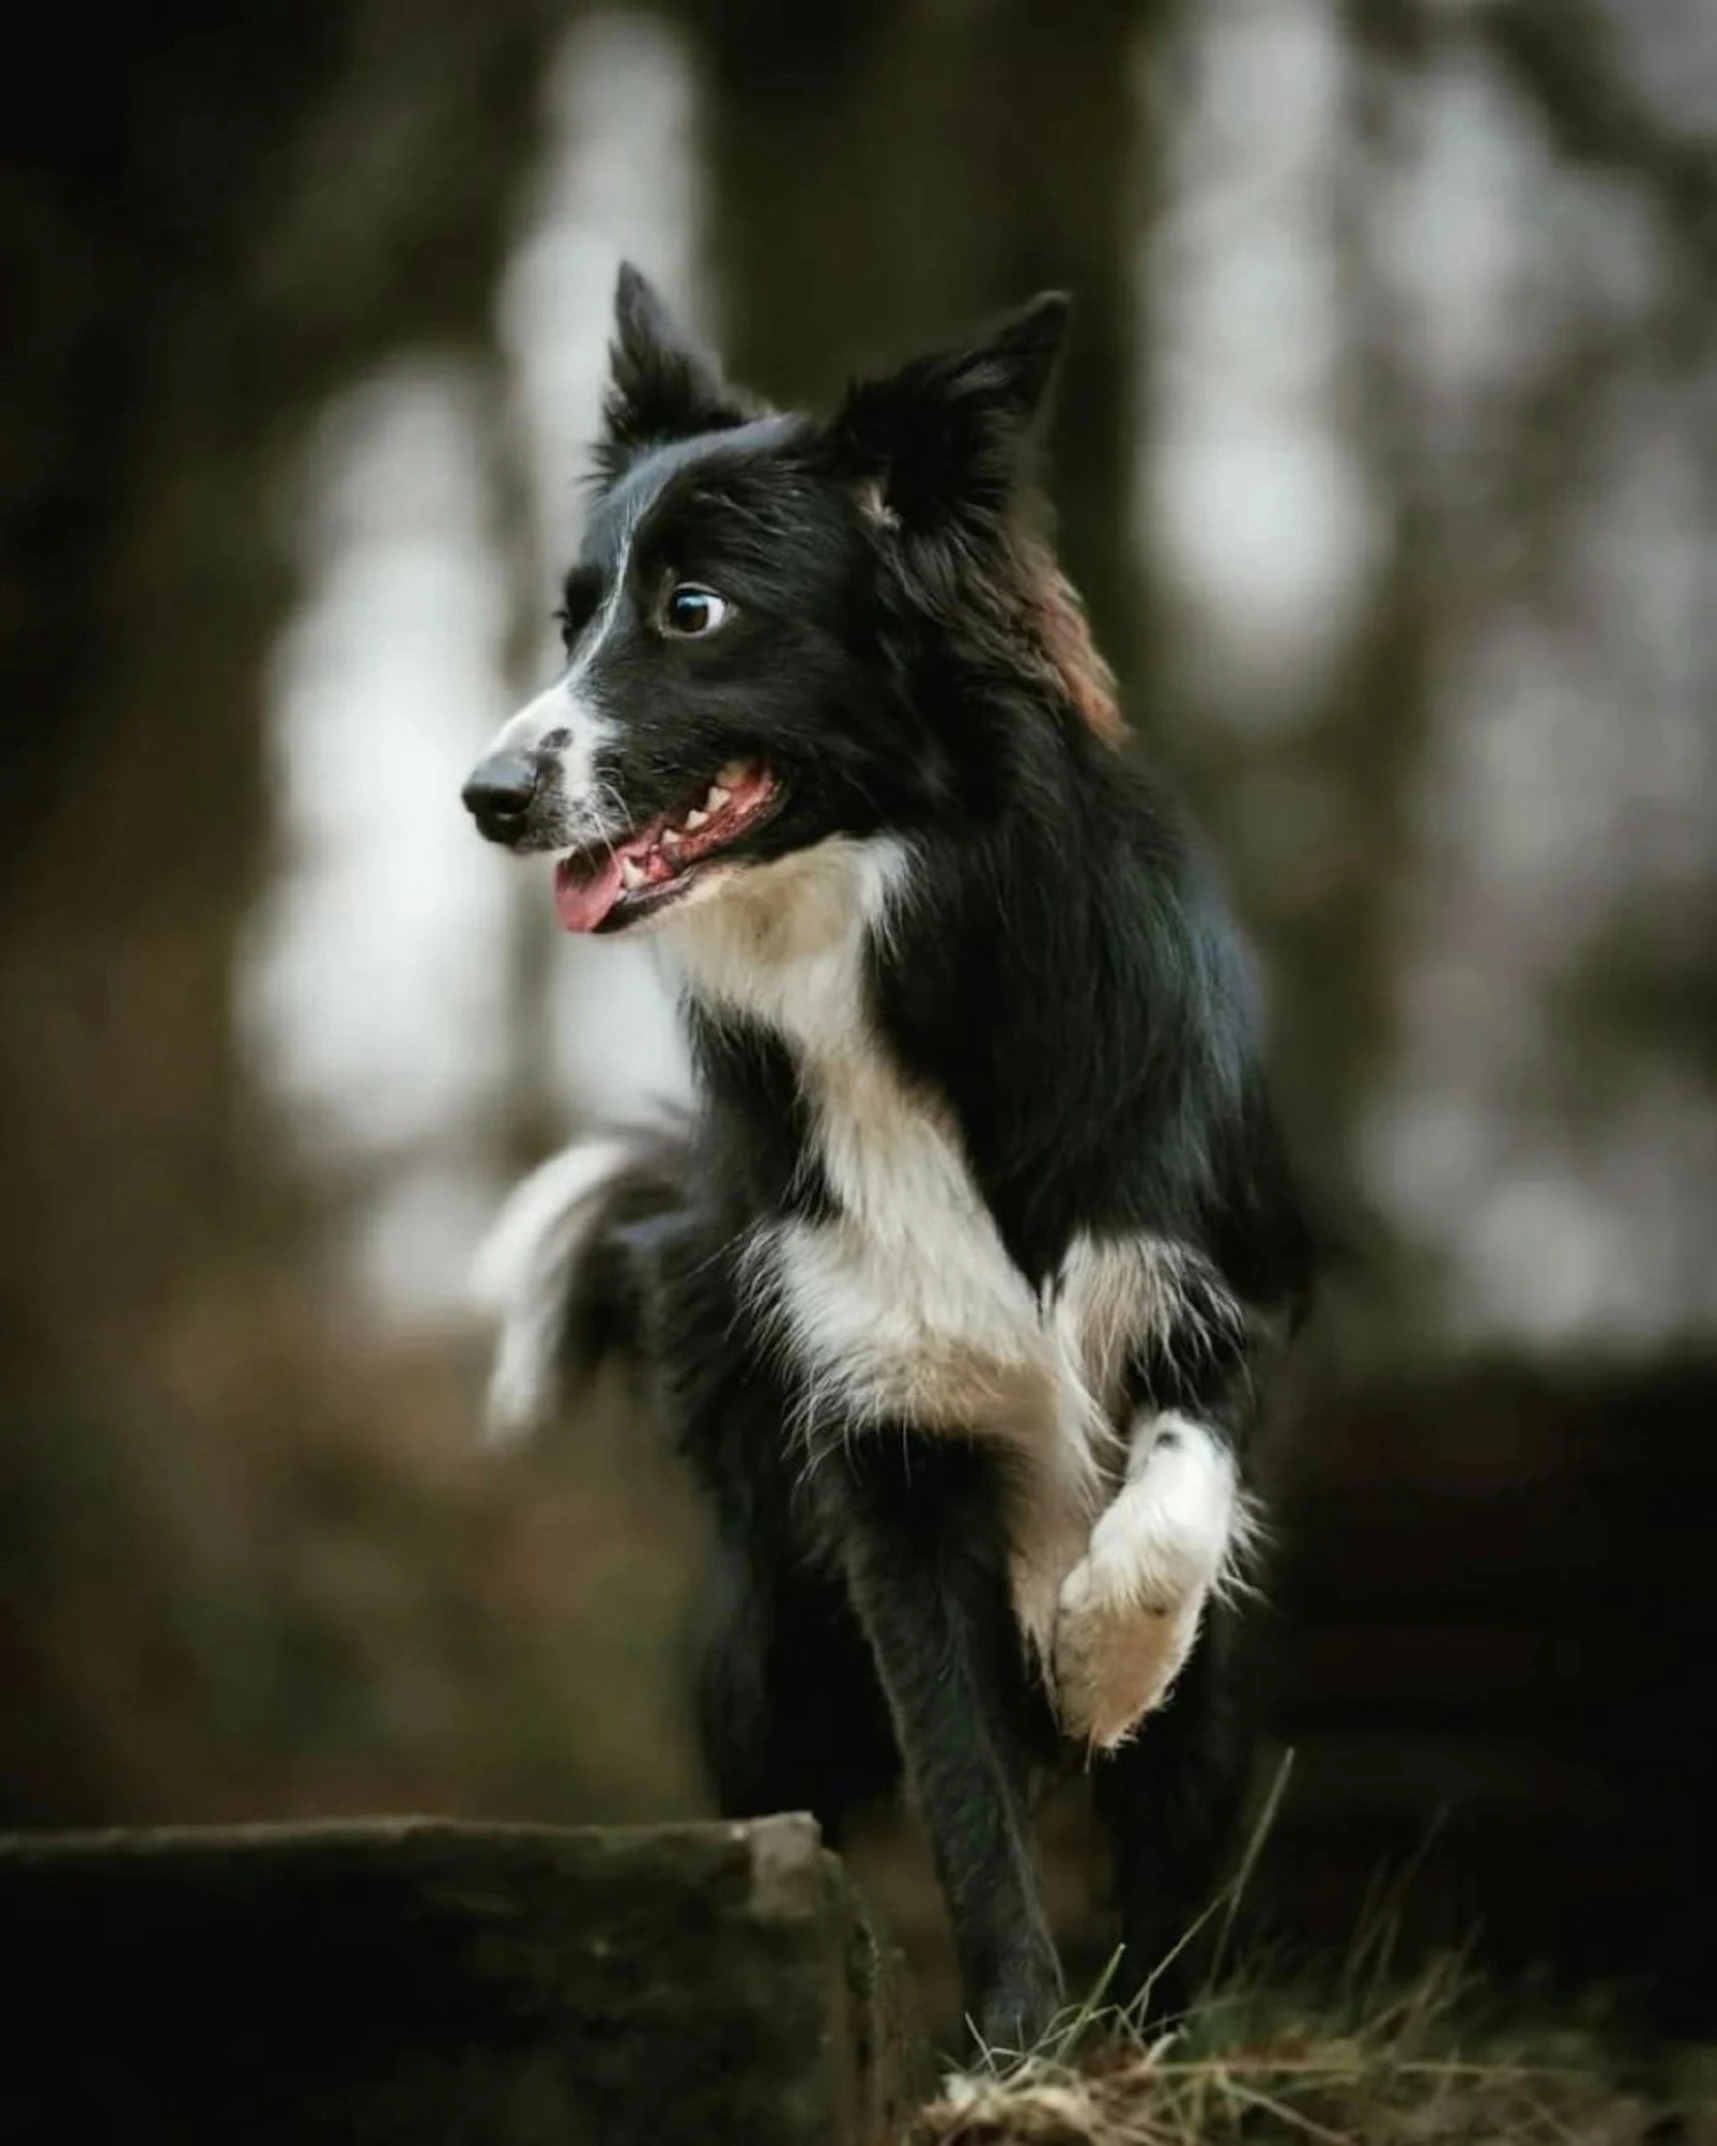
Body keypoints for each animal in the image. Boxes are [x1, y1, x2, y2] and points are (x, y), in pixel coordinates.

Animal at [463, 263, 1304, 2042]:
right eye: (572, 619)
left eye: (691, 610)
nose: (485, 795)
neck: (883, 945)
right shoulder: (879, 1442)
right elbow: (965, 1779)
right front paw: (1023, 2051)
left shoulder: (1208, 1288)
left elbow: (1173, 1511)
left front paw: (1096, 1657)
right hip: (772, 1626)